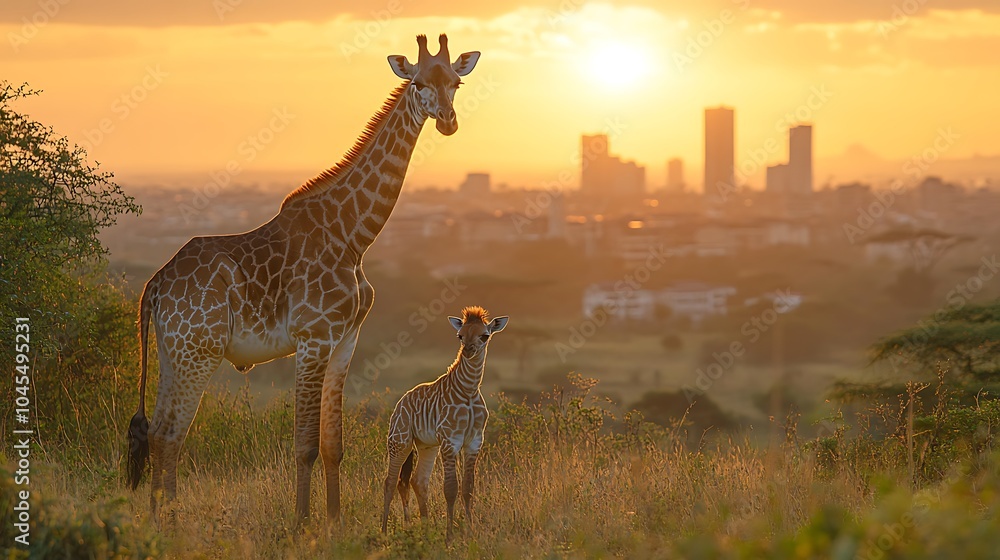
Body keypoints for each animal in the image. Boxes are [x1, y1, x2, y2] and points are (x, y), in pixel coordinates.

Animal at [125, 34, 481, 524]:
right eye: (419, 83)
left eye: (457, 83)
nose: (447, 122)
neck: (353, 234)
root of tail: (155, 286)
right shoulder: (313, 338)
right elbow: (305, 445)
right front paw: (301, 524)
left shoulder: (345, 339)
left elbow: (333, 445)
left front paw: (334, 521)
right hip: (198, 350)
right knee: (170, 433)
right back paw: (170, 524)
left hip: (173, 350)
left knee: (160, 430)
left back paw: (160, 519)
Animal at [380, 306, 508, 541]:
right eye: (460, 336)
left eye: (485, 336)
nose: (468, 351)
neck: (468, 391)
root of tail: (401, 401)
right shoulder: (450, 441)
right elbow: (450, 489)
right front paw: (449, 537)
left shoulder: (474, 442)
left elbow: (468, 488)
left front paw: (470, 531)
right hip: (400, 442)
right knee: (391, 482)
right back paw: (384, 531)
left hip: (427, 446)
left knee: (417, 481)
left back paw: (424, 530)